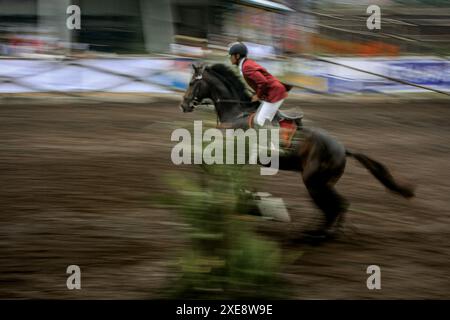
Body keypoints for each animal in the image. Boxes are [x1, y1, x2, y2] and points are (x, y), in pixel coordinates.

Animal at [178, 63, 414, 238]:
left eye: (191, 83)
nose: (184, 105)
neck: (236, 112)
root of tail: (343, 149)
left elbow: (213, 168)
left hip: (314, 181)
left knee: (334, 206)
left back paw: (321, 234)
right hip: (322, 183)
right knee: (336, 205)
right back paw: (323, 231)